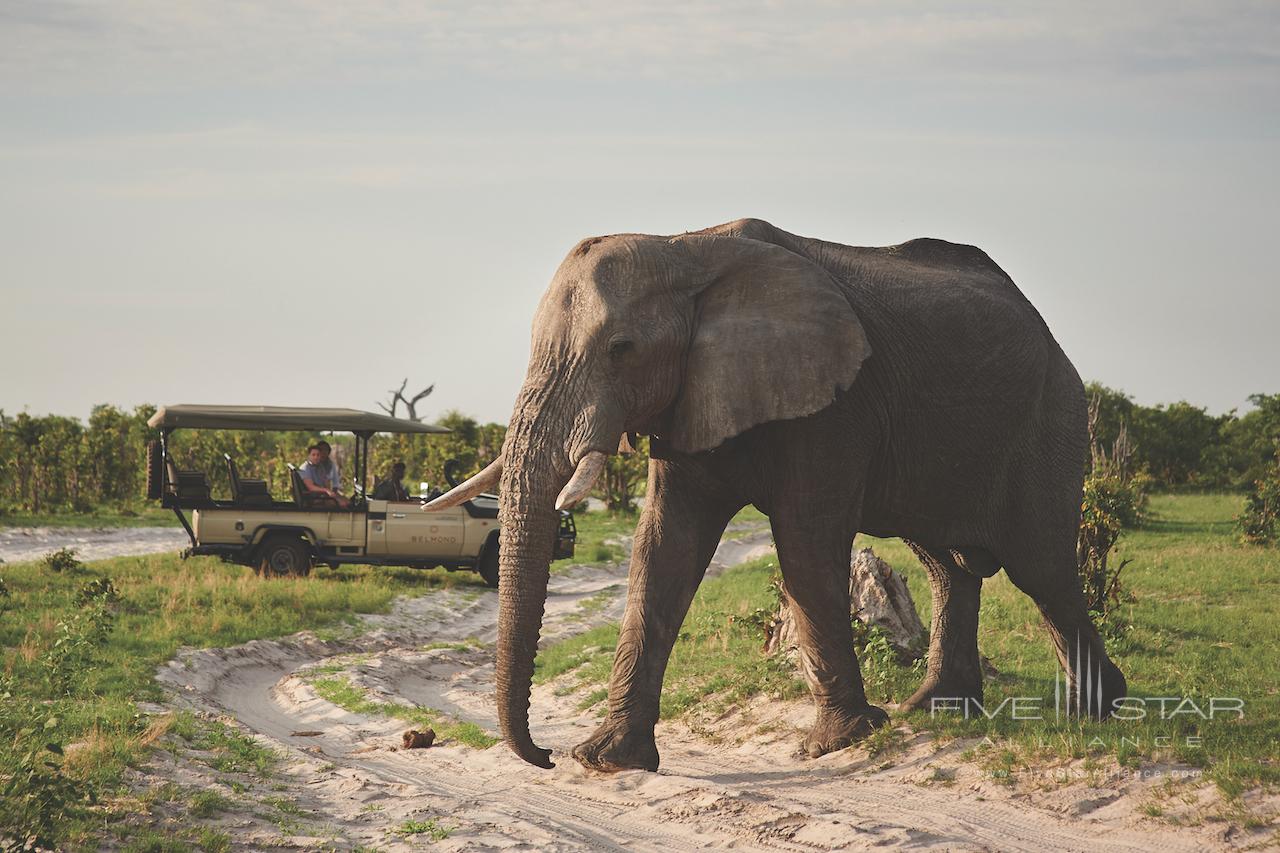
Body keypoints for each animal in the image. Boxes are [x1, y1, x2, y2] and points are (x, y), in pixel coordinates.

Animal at [424, 213, 1126, 768]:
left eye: (621, 348)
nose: (543, 754)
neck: (685, 247)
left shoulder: (833, 404)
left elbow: (806, 546)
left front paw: (838, 744)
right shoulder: (693, 395)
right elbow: (663, 547)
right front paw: (608, 760)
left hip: (1054, 415)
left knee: (1041, 568)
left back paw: (1098, 712)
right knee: (948, 564)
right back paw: (936, 711)